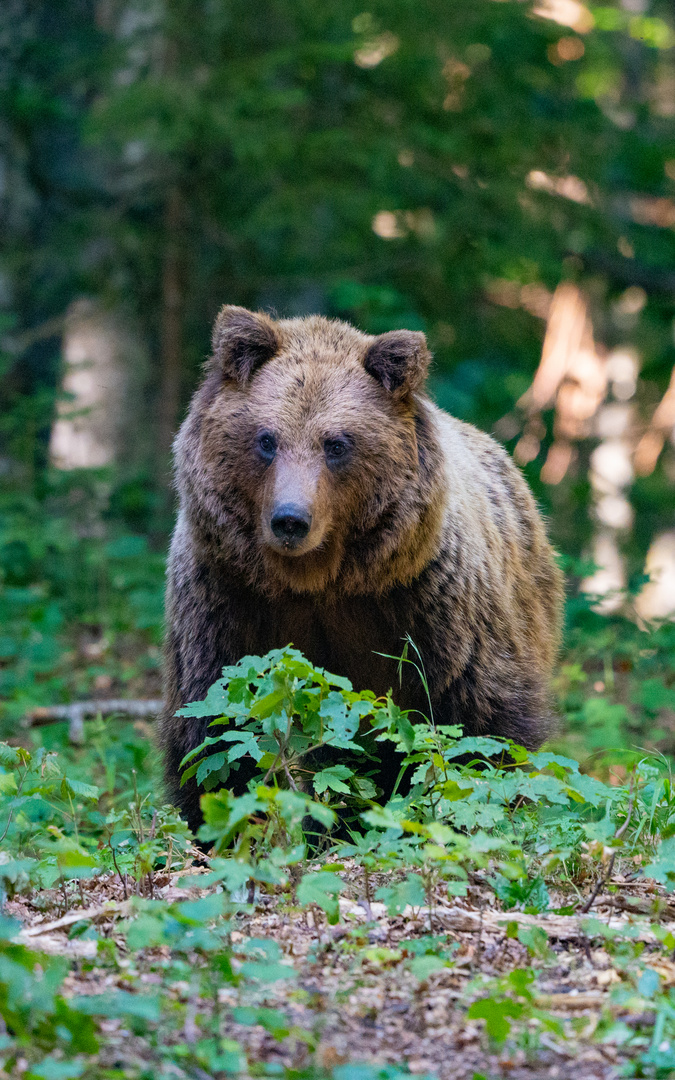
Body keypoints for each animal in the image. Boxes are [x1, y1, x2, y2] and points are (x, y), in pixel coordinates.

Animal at [162, 308, 561, 829]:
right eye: (266, 439)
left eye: (337, 443)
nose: (290, 519)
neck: (318, 581)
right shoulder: (227, 601)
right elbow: (218, 729)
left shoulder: (427, 605)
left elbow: (480, 724)